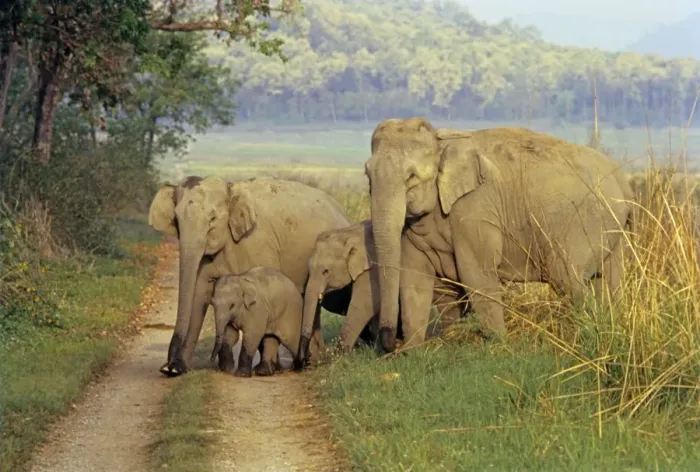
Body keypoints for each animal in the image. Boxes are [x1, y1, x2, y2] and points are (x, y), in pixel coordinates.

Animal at [148, 175, 350, 376]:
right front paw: (181, 369)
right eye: (176, 220)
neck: (229, 188)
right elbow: (199, 295)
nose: (168, 367)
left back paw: (309, 362)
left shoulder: (258, 243)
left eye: (212, 219)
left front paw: (265, 370)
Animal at [298, 219, 471, 365]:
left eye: (325, 272)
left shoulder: (373, 268)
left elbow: (365, 304)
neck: (348, 234)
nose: (303, 358)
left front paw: (338, 355)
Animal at [364, 117, 634, 353]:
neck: (440, 138)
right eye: (367, 176)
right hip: (610, 228)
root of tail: (622, 179)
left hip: (586, 222)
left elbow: (476, 273)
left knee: (565, 274)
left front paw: (497, 346)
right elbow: (414, 277)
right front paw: (412, 352)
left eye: (411, 176)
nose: (390, 343)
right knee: (610, 280)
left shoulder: (475, 209)